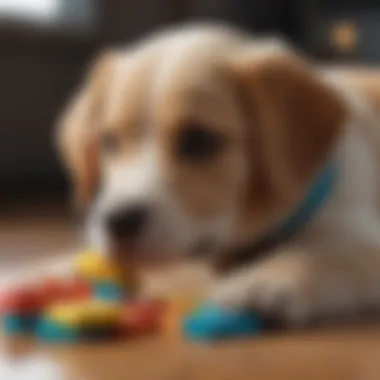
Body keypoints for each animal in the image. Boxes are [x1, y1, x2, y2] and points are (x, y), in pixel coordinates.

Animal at [56, 23, 380, 326]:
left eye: (199, 140)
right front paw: (54, 268)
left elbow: (327, 255)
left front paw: (267, 280)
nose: (119, 221)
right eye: (108, 140)